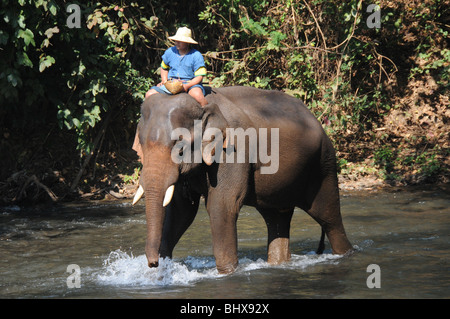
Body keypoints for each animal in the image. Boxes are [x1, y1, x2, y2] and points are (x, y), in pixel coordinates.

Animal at [132, 87, 354, 276]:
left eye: (180, 149)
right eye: (141, 145)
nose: (153, 263)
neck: (204, 106)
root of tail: (316, 119)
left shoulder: (233, 149)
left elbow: (221, 205)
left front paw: (227, 273)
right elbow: (181, 211)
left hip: (323, 165)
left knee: (329, 218)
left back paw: (345, 254)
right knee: (277, 219)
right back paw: (279, 263)